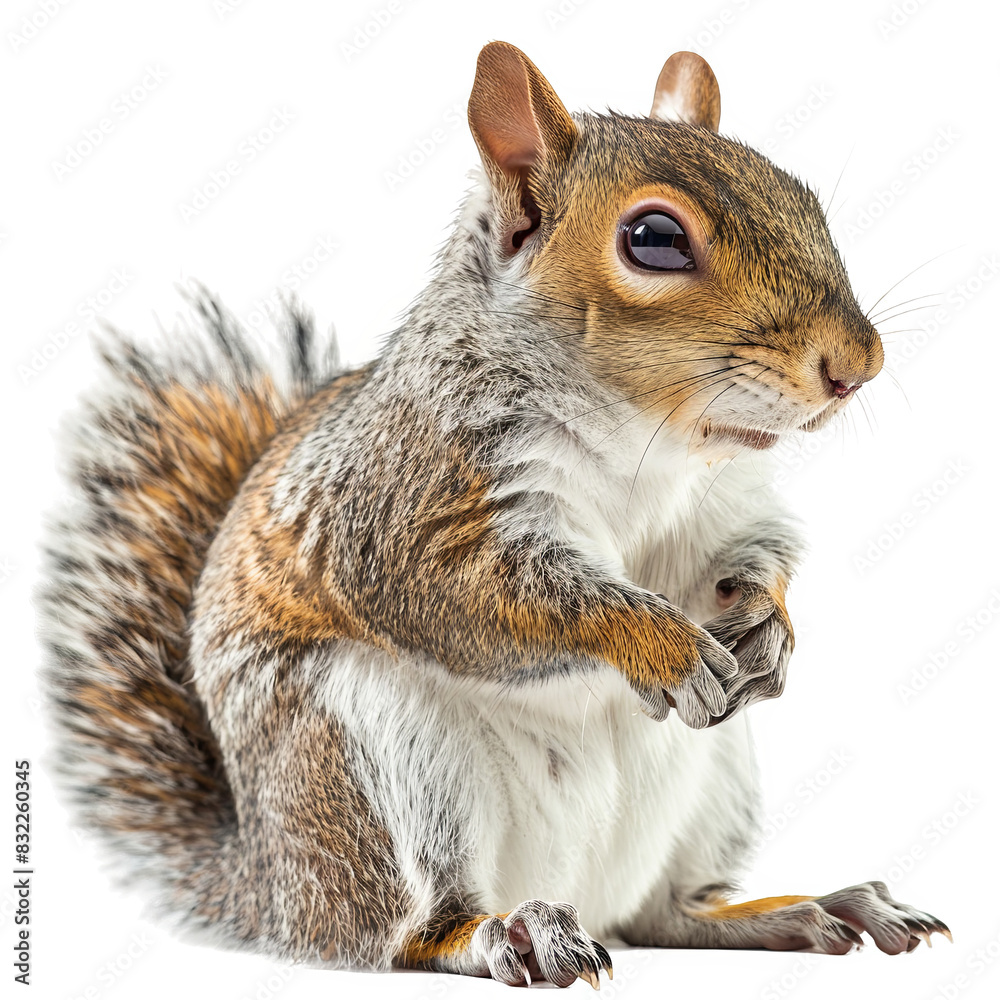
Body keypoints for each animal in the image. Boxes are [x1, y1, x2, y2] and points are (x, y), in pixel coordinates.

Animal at [40, 41, 950, 988]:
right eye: (655, 239)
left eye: (801, 195)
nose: (859, 364)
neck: (649, 442)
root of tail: (270, 888)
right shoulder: (409, 501)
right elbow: (497, 597)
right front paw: (662, 644)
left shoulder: (721, 503)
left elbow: (749, 555)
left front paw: (771, 627)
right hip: (375, 755)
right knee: (415, 929)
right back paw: (507, 932)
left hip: (717, 777)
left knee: (670, 914)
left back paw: (807, 908)